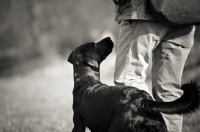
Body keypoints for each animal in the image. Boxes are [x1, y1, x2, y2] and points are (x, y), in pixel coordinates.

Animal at [67, 37, 200, 132]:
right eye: (94, 44)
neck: (86, 79)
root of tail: (143, 101)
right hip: (160, 128)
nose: (109, 38)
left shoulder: (78, 124)